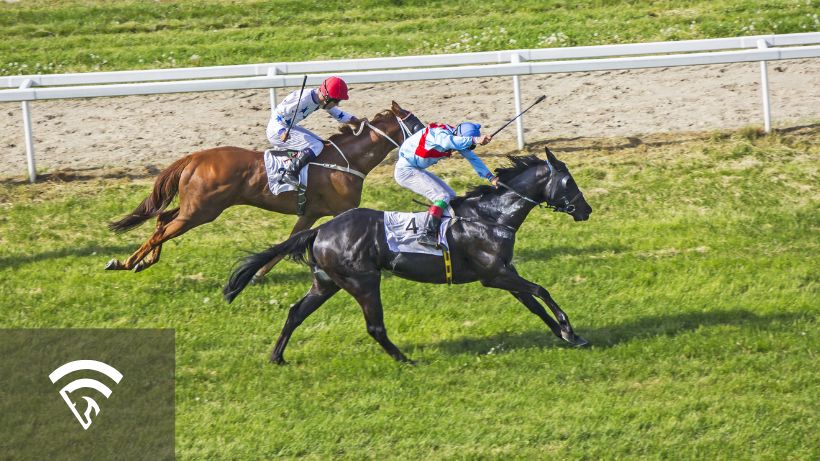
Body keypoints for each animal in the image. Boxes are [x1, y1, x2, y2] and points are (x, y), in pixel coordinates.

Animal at [105, 100, 422, 276]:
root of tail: (195, 157)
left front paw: (258, 273)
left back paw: (142, 262)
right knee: (163, 230)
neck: (345, 160)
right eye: (416, 123)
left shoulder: (310, 213)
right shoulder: (343, 210)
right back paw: (127, 262)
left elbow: (288, 242)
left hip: (194, 208)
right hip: (200, 211)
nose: (428, 135)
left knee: (162, 220)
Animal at [224, 148, 592, 362]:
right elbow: (542, 291)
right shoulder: (494, 275)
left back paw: (277, 357)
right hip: (363, 281)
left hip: (326, 282)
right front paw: (569, 329)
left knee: (296, 312)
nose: (586, 210)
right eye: (569, 182)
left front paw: (568, 336)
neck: (490, 216)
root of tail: (320, 230)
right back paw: (405, 360)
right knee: (375, 326)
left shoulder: (504, 272)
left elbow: (534, 304)